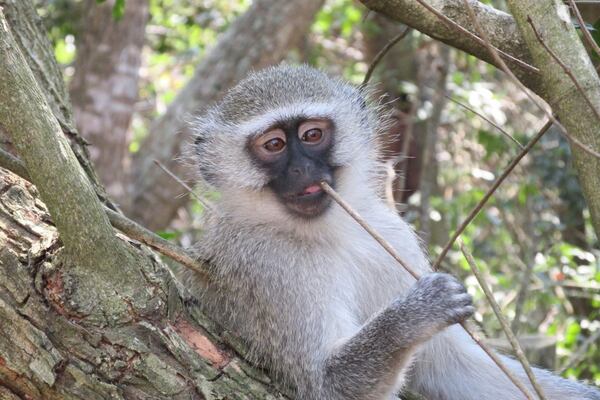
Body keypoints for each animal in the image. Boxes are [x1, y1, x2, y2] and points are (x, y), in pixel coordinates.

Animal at [182, 64, 600, 398]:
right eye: (273, 145)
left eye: (312, 135)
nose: (302, 169)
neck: (328, 232)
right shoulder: (265, 265)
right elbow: (325, 383)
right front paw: (415, 313)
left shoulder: (390, 234)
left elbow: (453, 368)